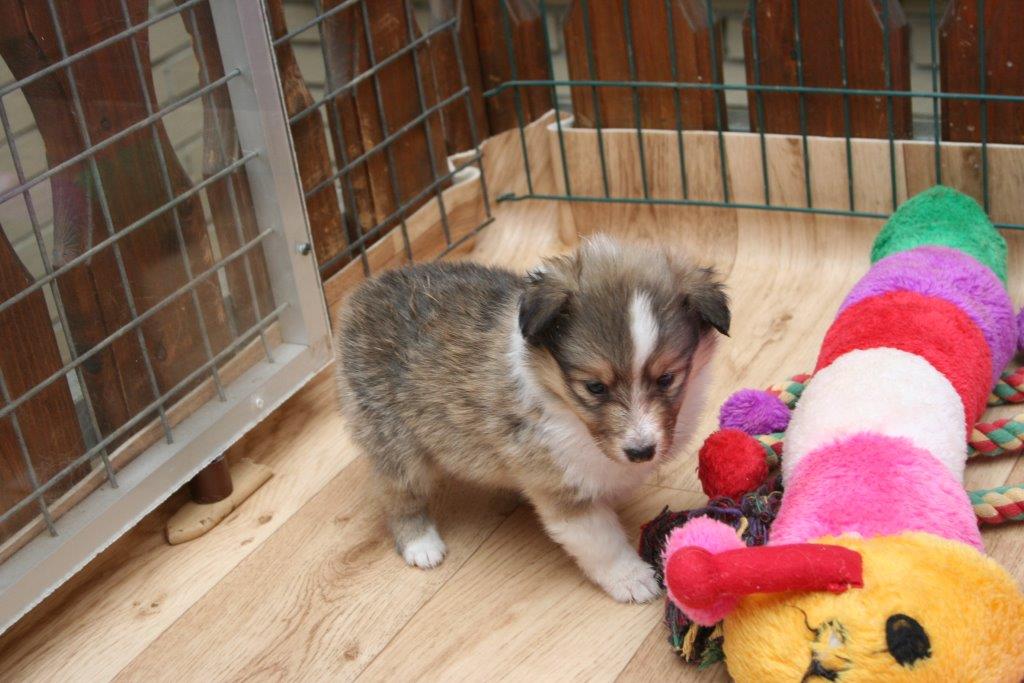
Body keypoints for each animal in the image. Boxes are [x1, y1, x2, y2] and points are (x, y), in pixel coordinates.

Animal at [335, 236, 728, 602]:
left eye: (667, 379)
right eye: (595, 387)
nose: (641, 452)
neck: (562, 400)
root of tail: (365, 292)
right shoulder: (561, 484)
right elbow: (600, 540)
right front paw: (631, 578)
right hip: (395, 439)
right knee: (398, 493)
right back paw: (421, 544)